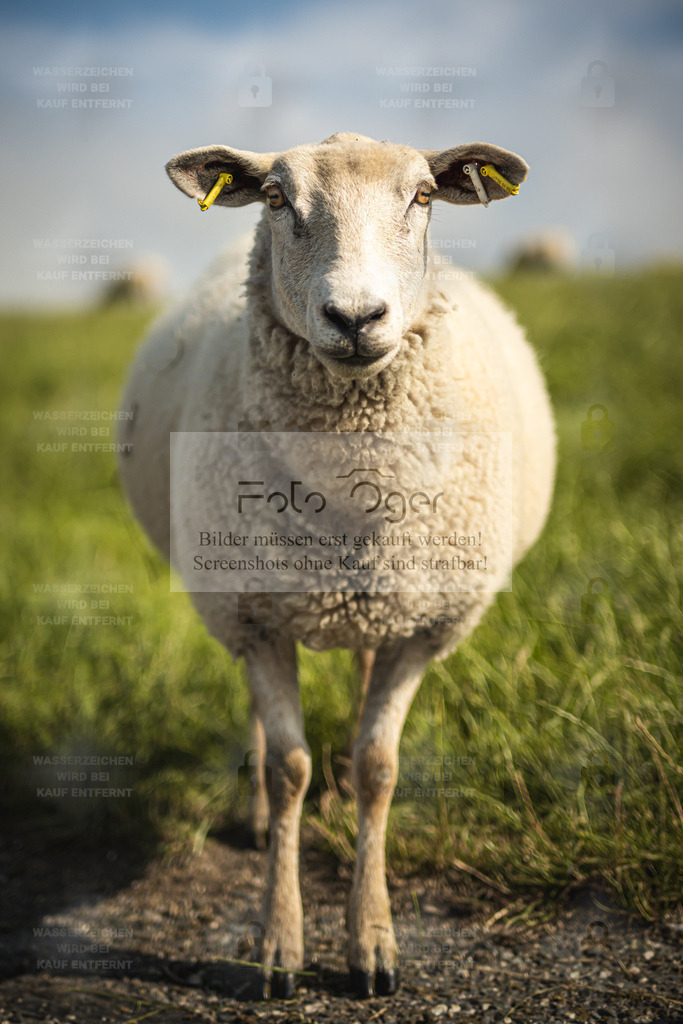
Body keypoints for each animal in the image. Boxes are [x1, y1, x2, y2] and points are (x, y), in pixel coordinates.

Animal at [118, 132, 556, 1000]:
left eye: (422, 196)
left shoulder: (423, 625)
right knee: (270, 735)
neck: (350, 479)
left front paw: (372, 941)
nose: (355, 318)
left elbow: (380, 765)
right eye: (276, 199)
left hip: (376, 601)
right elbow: (289, 768)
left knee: (358, 695)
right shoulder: (252, 614)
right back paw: (261, 818)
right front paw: (277, 945)